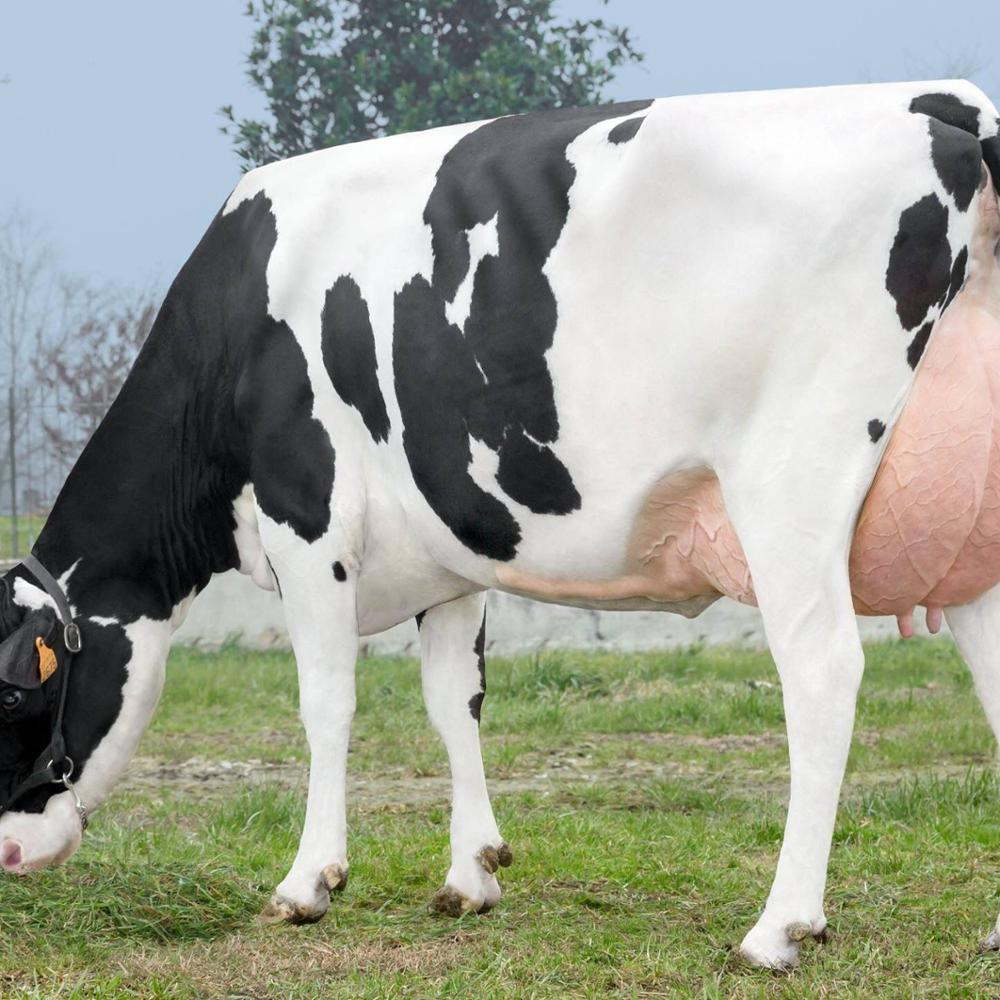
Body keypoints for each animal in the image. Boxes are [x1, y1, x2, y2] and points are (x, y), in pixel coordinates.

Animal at [0, 78, 999, 971]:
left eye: (13, 694)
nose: (9, 852)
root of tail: (946, 104)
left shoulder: (309, 521)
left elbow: (326, 702)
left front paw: (307, 883)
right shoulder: (453, 556)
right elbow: (456, 700)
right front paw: (470, 874)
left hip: (789, 484)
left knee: (822, 674)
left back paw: (779, 928)